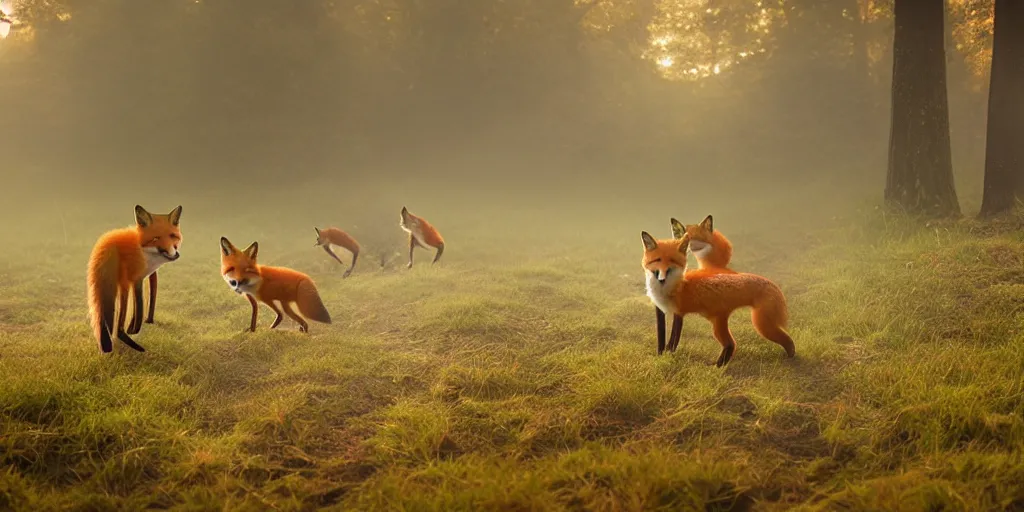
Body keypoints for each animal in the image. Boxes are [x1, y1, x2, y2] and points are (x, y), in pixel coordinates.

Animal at [87, 203, 183, 352]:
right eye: (155, 238)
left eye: (173, 236)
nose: (174, 253)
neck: (146, 255)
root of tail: (105, 242)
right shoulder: (136, 279)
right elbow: (140, 304)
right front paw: (135, 329)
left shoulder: (146, 276)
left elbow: (147, 300)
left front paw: (142, 323)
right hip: (122, 285)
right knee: (118, 324)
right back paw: (129, 342)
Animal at [634, 230, 794, 366]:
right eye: (657, 260)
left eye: (672, 261)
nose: (662, 278)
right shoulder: (660, 310)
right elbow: (661, 338)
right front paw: (660, 356)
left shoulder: (679, 312)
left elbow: (673, 340)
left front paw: (668, 356)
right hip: (721, 324)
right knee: (731, 344)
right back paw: (719, 366)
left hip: (759, 325)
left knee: (736, 344)